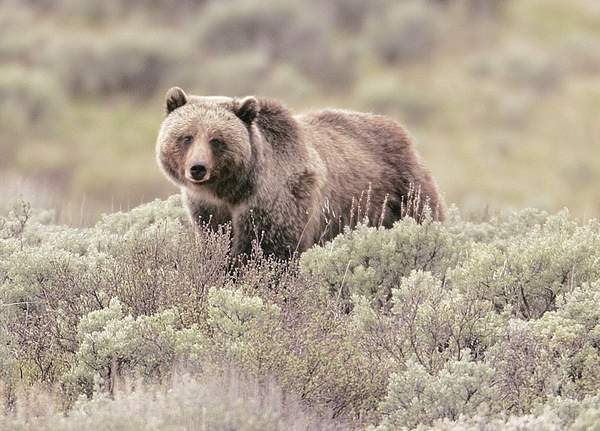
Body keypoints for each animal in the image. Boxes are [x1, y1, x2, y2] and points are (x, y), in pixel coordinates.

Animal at [157, 86, 442, 258]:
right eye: (186, 137)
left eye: (217, 140)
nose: (198, 168)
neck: (233, 190)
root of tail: (403, 132)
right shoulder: (209, 211)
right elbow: (217, 243)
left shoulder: (279, 200)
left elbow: (271, 251)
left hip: (402, 193)